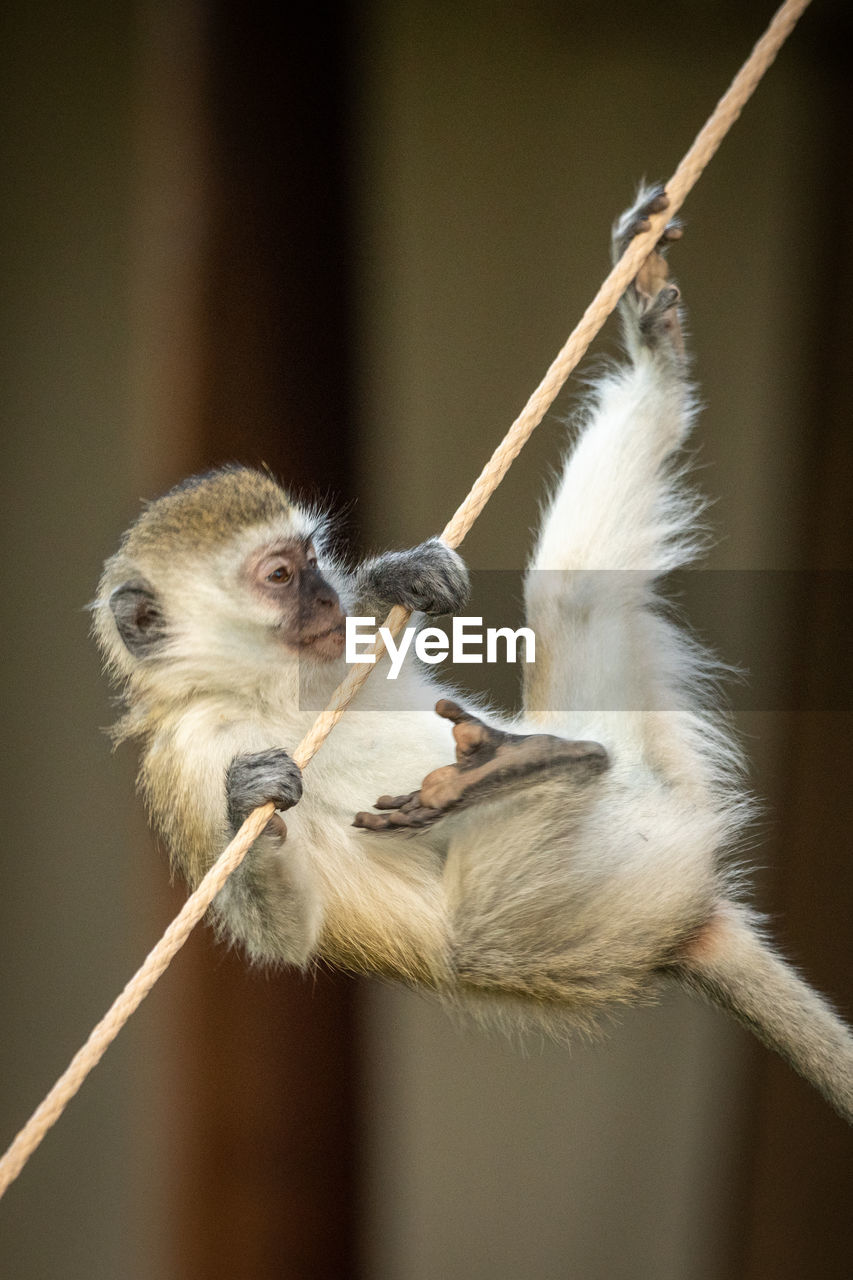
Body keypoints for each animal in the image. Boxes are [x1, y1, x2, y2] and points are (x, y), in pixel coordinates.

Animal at [92, 186, 850, 1121]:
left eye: (311, 560)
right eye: (278, 577)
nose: (326, 598)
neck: (263, 686)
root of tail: (683, 921)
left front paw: (394, 576)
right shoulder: (195, 754)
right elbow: (284, 930)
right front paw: (249, 804)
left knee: (570, 591)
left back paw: (651, 359)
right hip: (554, 913)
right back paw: (516, 769)